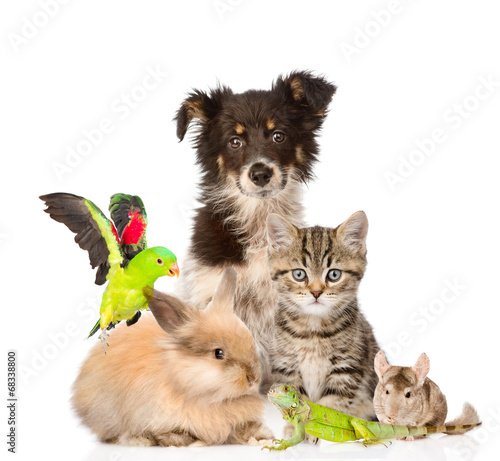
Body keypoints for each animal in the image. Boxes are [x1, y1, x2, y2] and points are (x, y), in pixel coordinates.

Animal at [71, 266, 274, 446]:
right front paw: (180, 441)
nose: (253, 378)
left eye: (251, 342)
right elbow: (165, 433)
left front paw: (263, 437)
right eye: (219, 353)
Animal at [266, 212, 378, 420]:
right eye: (299, 274)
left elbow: (331, 407)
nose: (316, 292)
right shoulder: (287, 365)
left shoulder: (346, 369)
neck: (313, 331)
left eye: (334, 274)